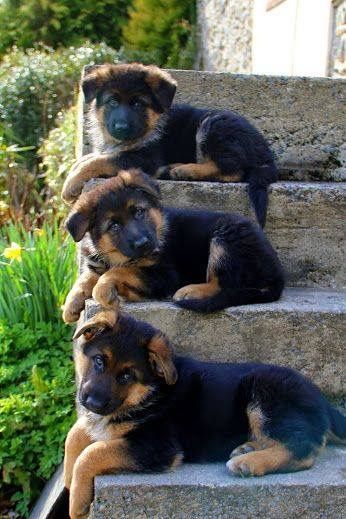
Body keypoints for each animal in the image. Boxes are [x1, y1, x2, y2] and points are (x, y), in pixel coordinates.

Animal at [61, 62, 278, 226]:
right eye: (112, 102)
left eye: (138, 103)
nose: (121, 127)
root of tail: (266, 154)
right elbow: (91, 157)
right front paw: (75, 173)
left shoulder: (145, 158)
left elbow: (99, 161)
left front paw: (69, 185)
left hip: (212, 124)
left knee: (234, 170)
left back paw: (185, 171)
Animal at [62, 170, 284, 324]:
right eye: (114, 225)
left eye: (139, 212)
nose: (144, 244)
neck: (116, 255)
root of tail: (277, 275)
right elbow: (87, 277)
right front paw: (71, 304)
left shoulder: (165, 274)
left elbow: (118, 272)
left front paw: (106, 292)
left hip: (225, 237)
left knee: (224, 284)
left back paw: (190, 291)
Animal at [64, 310, 346, 516]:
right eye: (98, 361)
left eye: (126, 376)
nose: (92, 402)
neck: (151, 392)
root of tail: (322, 400)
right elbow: (75, 435)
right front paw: (67, 480)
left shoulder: (158, 447)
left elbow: (92, 453)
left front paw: (77, 502)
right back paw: (247, 448)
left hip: (264, 395)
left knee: (304, 449)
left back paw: (248, 462)